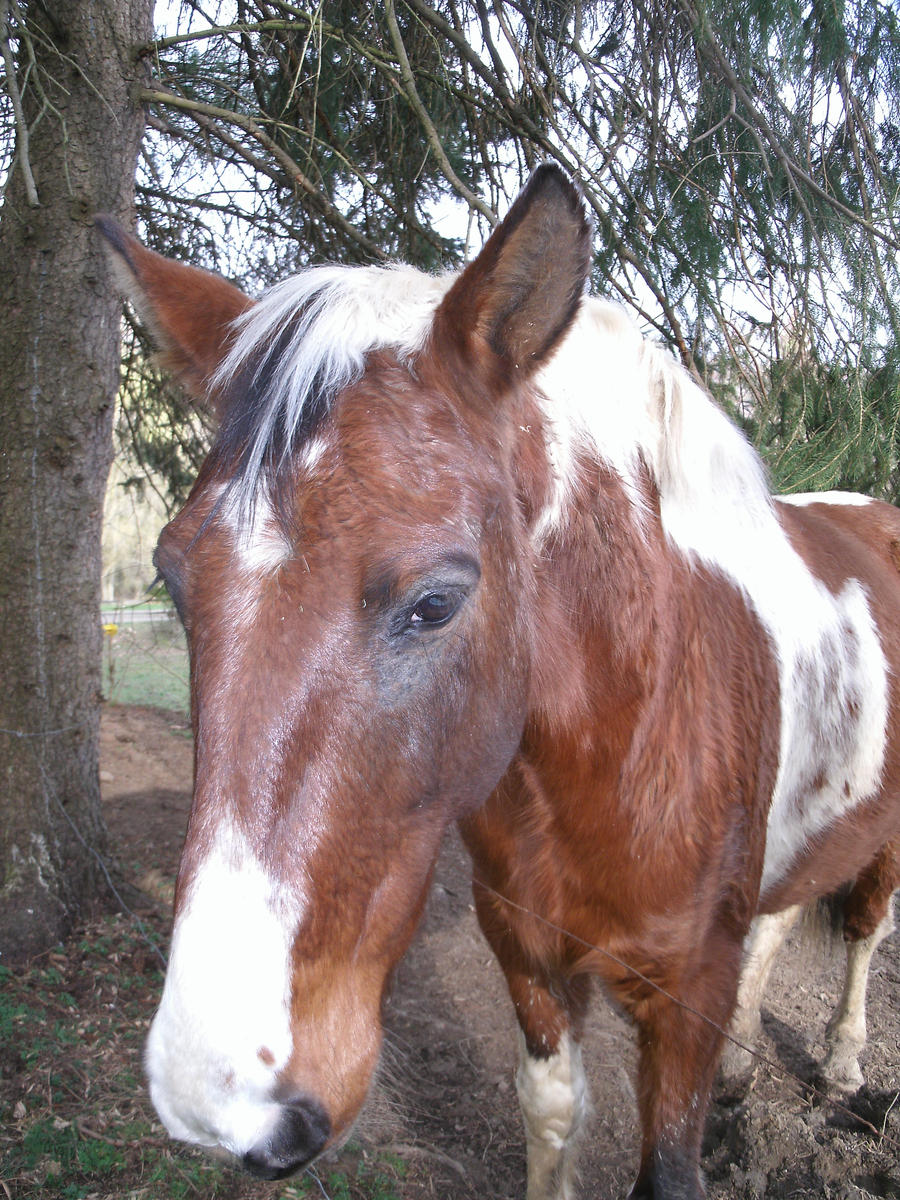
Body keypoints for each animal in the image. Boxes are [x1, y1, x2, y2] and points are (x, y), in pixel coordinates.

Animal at [98, 164, 900, 1195]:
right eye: (171, 577)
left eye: (435, 603)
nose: (214, 1094)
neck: (619, 746)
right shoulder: (526, 951)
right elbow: (552, 1110)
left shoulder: (688, 993)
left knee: (864, 927)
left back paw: (842, 1063)